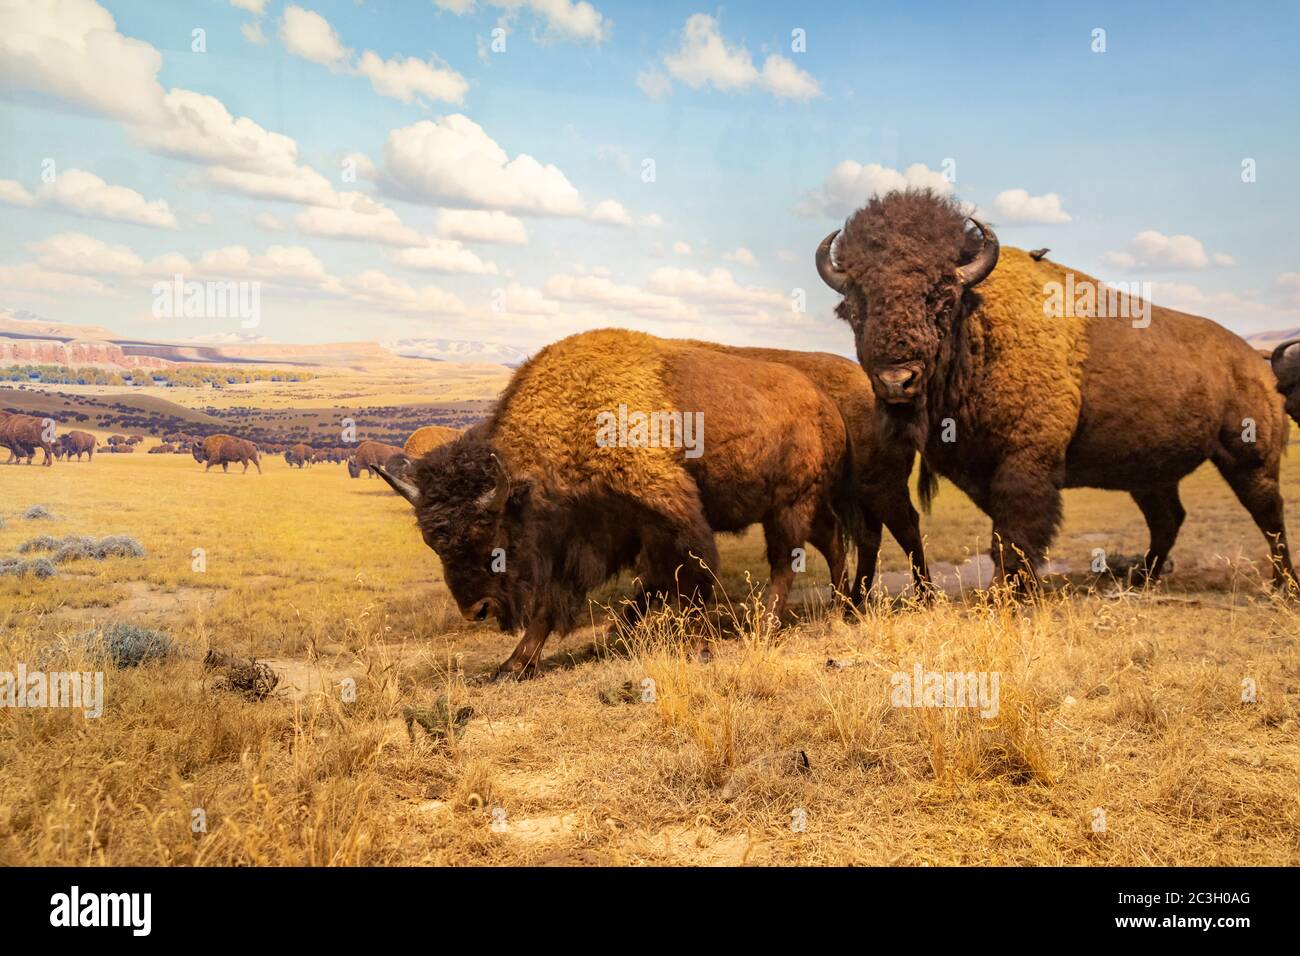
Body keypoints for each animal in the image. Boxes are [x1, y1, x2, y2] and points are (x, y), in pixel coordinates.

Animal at [374, 330, 863, 681]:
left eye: (492, 536)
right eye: (433, 543)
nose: (476, 610)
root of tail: (826, 404)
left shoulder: (669, 514)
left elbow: (693, 575)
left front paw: (698, 647)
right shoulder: (605, 533)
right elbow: (567, 601)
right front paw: (514, 665)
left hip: (789, 507)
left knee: (786, 563)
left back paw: (766, 628)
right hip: (799, 507)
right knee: (832, 543)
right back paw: (841, 609)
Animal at [811, 187, 1289, 590]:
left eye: (941, 298)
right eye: (855, 307)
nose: (896, 380)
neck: (978, 323)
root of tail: (1253, 361)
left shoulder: (1026, 463)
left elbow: (1016, 533)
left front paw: (1008, 593)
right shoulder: (976, 470)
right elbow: (1005, 533)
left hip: (1249, 456)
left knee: (1268, 512)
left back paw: (1283, 585)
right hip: (1150, 474)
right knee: (1168, 518)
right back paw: (1143, 578)